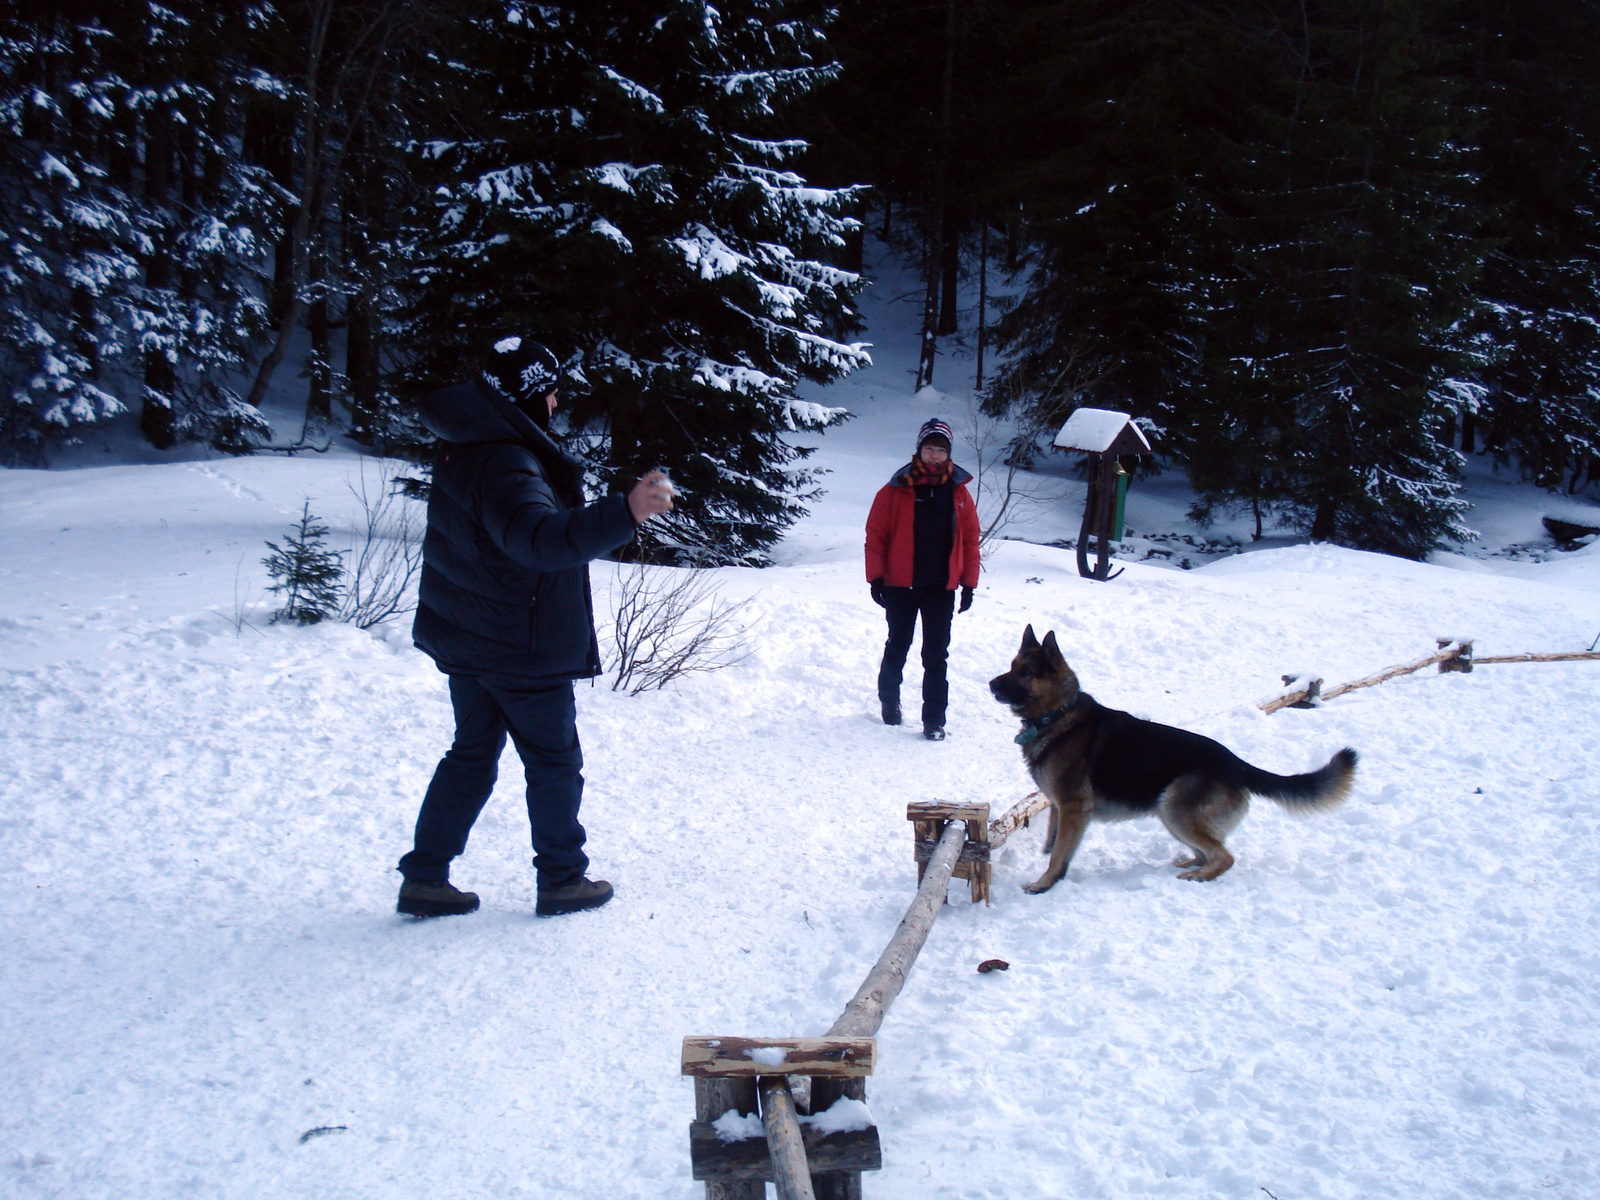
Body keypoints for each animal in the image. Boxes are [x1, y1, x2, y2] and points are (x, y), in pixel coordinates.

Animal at [992, 630, 1356, 896]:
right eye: (1011, 665)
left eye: (1026, 672)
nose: (992, 683)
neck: (1058, 714)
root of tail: (1236, 764)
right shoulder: (1059, 807)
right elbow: (1051, 843)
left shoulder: (1073, 808)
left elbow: (1058, 854)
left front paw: (1044, 884)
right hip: (1172, 813)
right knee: (1210, 850)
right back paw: (1190, 865)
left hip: (1173, 810)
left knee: (1225, 856)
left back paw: (1200, 876)